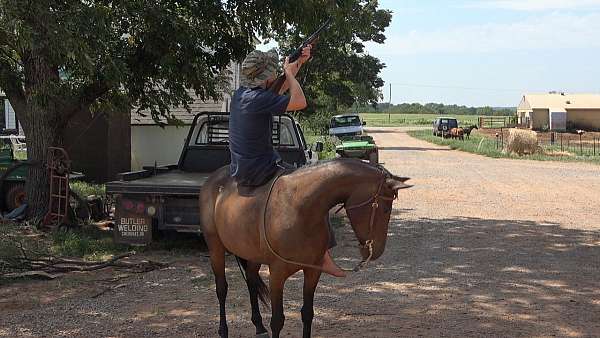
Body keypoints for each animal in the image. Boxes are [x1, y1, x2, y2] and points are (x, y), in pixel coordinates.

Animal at [199, 159, 410, 338]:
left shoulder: (312, 271)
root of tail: (212, 180)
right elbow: (278, 320)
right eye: (385, 208)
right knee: (222, 289)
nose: (378, 251)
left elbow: (307, 313)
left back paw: (259, 326)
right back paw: (223, 330)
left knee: (251, 281)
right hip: (216, 248)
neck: (299, 206)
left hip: (251, 255)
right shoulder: (277, 274)